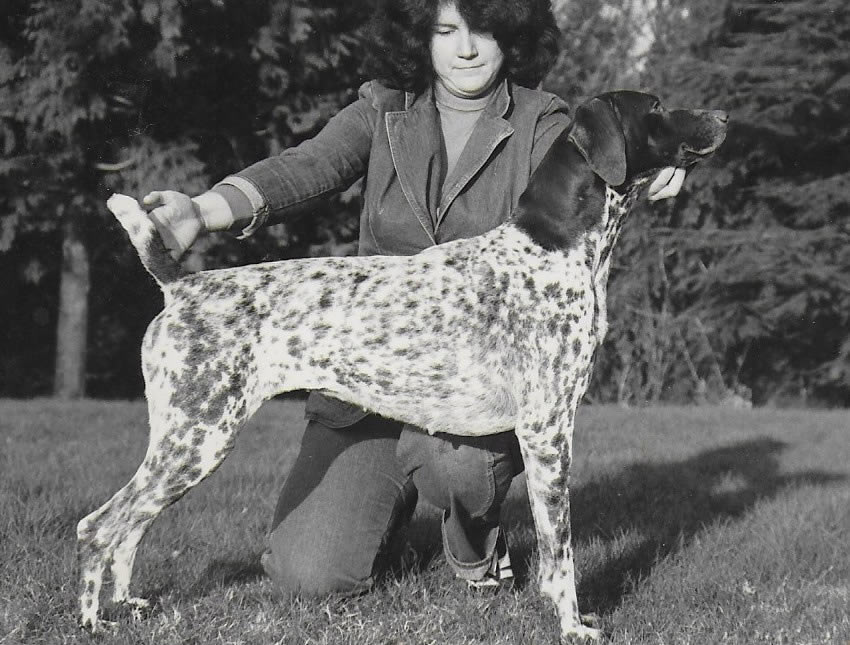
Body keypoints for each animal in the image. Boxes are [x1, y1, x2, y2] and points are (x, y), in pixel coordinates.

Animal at [79, 90, 727, 641]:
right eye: (656, 107)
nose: (722, 117)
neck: (558, 246)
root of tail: (181, 287)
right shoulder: (548, 429)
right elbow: (561, 551)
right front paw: (572, 626)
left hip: (183, 440)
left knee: (131, 526)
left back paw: (126, 603)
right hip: (199, 436)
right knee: (100, 526)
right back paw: (92, 621)